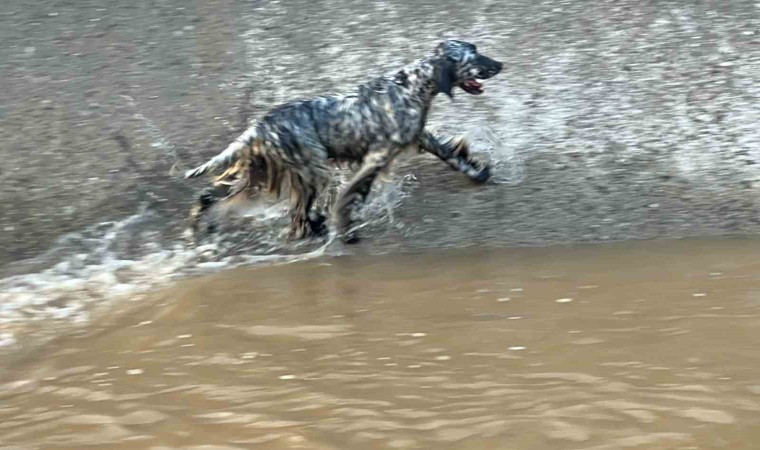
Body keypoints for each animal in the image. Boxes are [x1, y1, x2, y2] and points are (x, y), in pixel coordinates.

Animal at [184, 40, 503, 243]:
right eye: (473, 57)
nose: (500, 64)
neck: (410, 87)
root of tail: (260, 126)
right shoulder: (376, 157)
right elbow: (352, 195)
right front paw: (347, 229)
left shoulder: (420, 137)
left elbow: (454, 157)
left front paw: (478, 172)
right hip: (311, 173)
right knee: (297, 218)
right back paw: (316, 231)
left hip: (261, 173)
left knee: (209, 195)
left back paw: (199, 224)